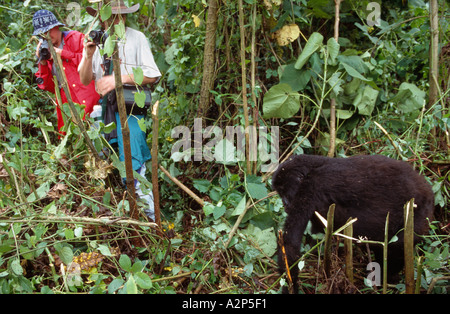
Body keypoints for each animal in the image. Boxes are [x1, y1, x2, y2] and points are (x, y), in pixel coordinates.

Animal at [272, 155, 434, 294]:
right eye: (280, 193)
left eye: (285, 192)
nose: (285, 205)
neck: (312, 168)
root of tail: (428, 191)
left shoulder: (313, 185)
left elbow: (290, 243)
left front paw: (290, 287)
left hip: (419, 213)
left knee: (399, 246)